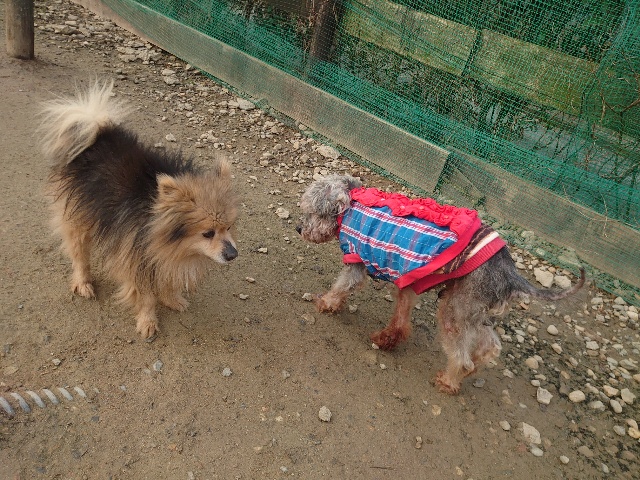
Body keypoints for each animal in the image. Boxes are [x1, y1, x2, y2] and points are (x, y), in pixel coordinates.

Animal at [40, 81, 239, 339]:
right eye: (207, 233)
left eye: (229, 227)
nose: (233, 254)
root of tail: (98, 135)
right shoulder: (136, 258)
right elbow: (145, 297)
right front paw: (148, 321)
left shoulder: (163, 255)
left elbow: (167, 281)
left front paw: (171, 298)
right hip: (78, 217)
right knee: (79, 253)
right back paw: (83, 282)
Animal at [297, 175, 585, 394]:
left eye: (311, 212)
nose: (299, 228)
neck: (351, 207)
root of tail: (509, 271)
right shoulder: (409, 278)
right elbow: (401, 316)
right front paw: (388, 338)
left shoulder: (356, 259)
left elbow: (342, 286)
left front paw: (325, 303)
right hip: (472, 309)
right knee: (490, 346)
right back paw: (473, 367)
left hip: (456, 309)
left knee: (463, 356)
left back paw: (449, 380)